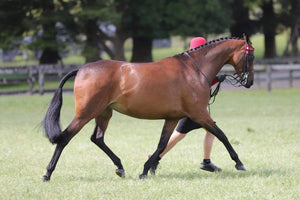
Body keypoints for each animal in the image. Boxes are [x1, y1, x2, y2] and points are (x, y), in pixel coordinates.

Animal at [42, 36, 254, 181]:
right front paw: (239, 163)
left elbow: (161, 144)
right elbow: (222, 135)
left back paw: (120, 167)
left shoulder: (173, 118)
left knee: (97, 138)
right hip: (86, 113)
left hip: (104, 113)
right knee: (65, 138)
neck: (193, 70)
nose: (249, 82)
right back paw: (48, 173)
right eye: (249, 56)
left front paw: (145, 170)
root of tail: (82, 69)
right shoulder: (200, 115)